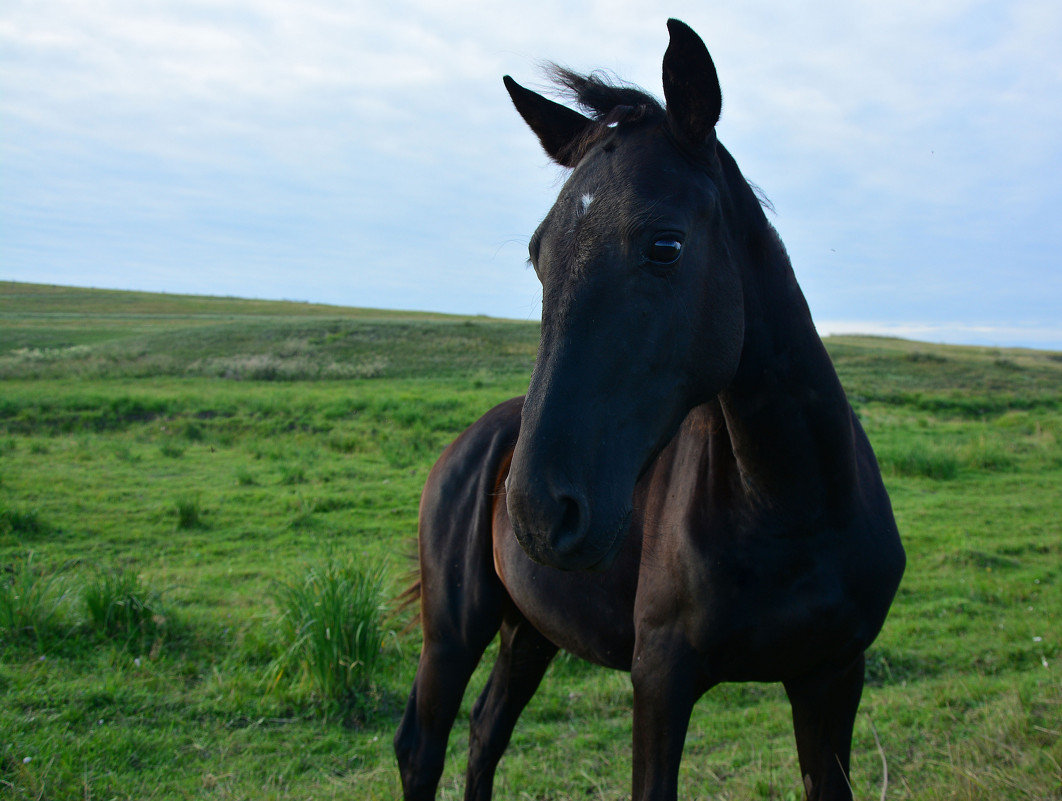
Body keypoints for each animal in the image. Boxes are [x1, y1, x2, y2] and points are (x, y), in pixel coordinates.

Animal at [395, 18, 909, 798]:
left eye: (665, 245)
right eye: (538, 255)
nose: (539, 510)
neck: (791, 506)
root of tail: (471, 443)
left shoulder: (833, 676)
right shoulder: (661, 683)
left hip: (530, 629)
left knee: (486, 733)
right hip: (453, 631)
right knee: (424, 748)